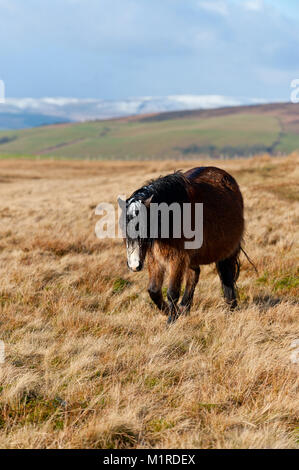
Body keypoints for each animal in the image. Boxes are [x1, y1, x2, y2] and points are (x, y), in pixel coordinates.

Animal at [118, 166, 245, 324]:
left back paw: (231, 308)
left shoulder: (177, 259)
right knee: (194, 275)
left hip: (227, 253)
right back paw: (185, 308)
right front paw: (172, 312)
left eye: (143, 228)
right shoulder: (156, 259)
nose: (134, 266)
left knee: (226, 278)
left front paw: (172, 320)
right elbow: (154, 291)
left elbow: (172, 292)